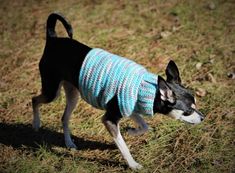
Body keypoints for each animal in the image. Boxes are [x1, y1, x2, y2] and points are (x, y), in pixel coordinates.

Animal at [32, 12, 205, 170]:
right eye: (188, 111)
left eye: (196, 105)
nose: (203, 117)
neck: (147, 88)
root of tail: (53, 39)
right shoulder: (109, 119)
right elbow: (123, 146)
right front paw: (133, 164)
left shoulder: (130, 109)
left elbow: (144, 126)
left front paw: (131, 131)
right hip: (52, 92)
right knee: (34, 100)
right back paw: (36, 123)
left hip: (73, 94)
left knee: (64, 118)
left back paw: (69, 143)